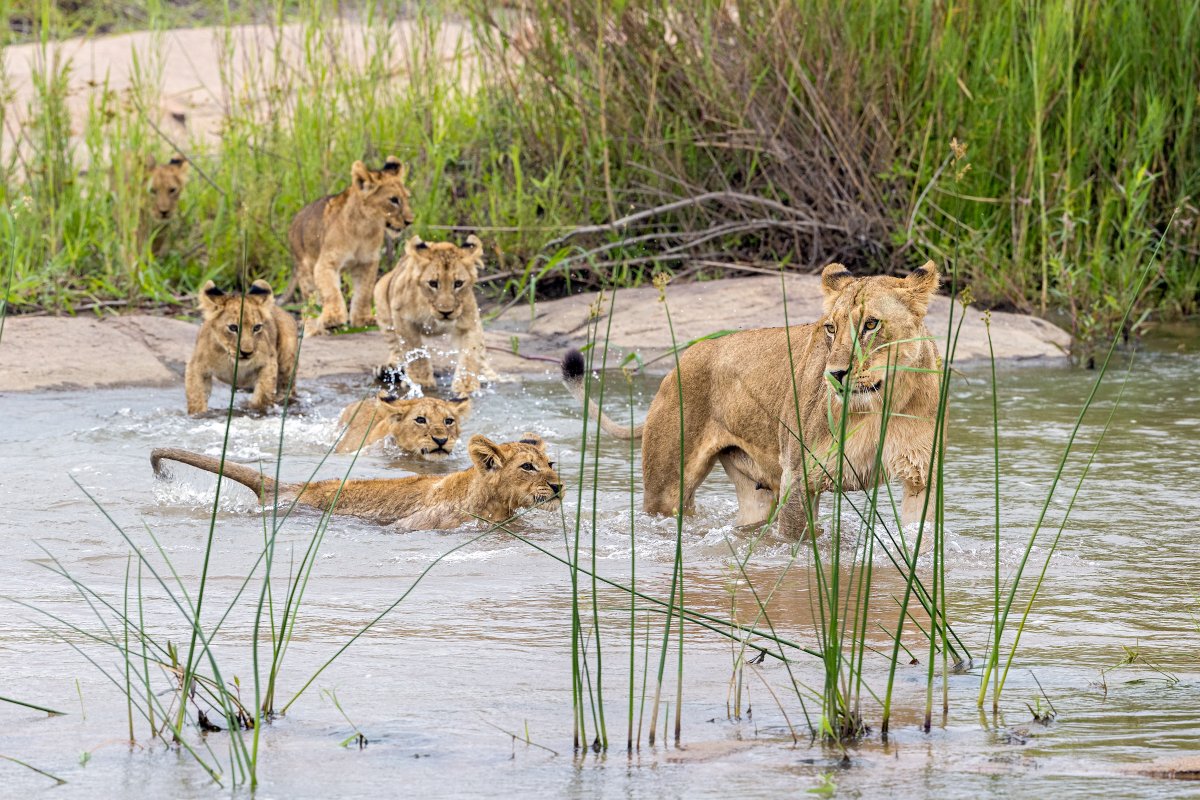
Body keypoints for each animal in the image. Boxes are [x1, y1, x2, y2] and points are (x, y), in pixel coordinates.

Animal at [185, 279, 299, 416]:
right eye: (233, 328)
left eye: (256, 327)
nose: (246, 352)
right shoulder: (196, 366)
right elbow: (196, 397)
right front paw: (198, 415)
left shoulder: (269, 362)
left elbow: (263, 394)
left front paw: (255, 410)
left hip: (287, 359)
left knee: (287, 387)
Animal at [288, 156, 415, 336]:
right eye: (393, 200)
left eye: (406, 198)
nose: (409, 221)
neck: (364, 228)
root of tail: (295, 221)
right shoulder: (326, 264)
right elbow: (331, 292)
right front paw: (333, 319)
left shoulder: (367, 263)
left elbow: (364, 293)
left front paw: (363, 320)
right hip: (305, 273)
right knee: (310, 305)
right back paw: (313, 330)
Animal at [374, 234, 498, 396]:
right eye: (433, 283)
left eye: (458, 283)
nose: (446, 312)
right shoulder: (402, 317)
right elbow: (415, 352)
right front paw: (421, 382)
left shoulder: (469, 322)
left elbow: (470, 354)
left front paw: (466, 385)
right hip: (381, 296)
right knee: (395, 346)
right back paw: (389, 369)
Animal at [562, 262, 942, 543]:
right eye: (831, 328)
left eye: (871, 324)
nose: (834, 374)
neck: (882, 402)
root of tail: (678, 364)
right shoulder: (799, 476)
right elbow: (796, 540)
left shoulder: (921, 478)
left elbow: (919, 537)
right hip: (665, 489)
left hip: (753, 489)